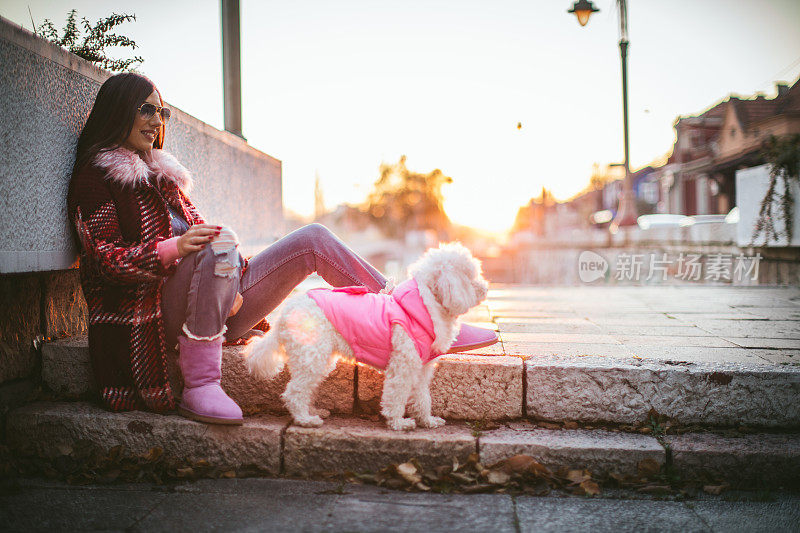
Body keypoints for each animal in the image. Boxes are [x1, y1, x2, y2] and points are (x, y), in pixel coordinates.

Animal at [247, 243, 490, 430]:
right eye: (471, 277)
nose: (486, 288)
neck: (423, 306)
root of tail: (286, 312)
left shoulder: (421, 369)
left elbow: (423, 397)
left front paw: (427, 421)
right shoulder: (403, 365)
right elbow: (396, 395)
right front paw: (398, 423)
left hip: (319, 358)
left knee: (306, 388)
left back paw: (314, 411)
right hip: (312, 355)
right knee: (294, 392)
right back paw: (305, 419)